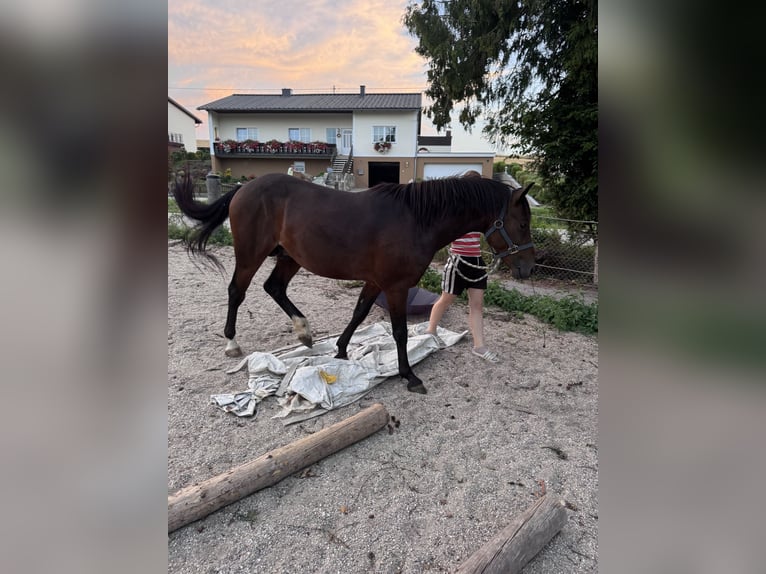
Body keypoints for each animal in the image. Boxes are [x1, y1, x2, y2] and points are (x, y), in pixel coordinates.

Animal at [173, 171, 535, 394]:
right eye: (522, 223)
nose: (529, 268)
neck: (417, 219)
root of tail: (243, 188)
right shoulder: (395, 286)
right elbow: (399, 332)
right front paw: (408, 375)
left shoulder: (376, 282)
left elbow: (358, 313)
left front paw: (342, 349)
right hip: (251, 253)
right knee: (238, 290)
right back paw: (232, 342)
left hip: (290, 257)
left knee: (273, 288)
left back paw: (304, 332)